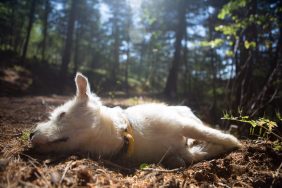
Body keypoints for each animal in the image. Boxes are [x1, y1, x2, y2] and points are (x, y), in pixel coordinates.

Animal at [31, 72, 242, 167]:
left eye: (62, 114)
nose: (31, 134)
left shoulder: (182, 125)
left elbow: (209, 134)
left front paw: (234, 142)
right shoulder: (184, 152)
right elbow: (198, 153)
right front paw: (216, 148)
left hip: (186, 116)